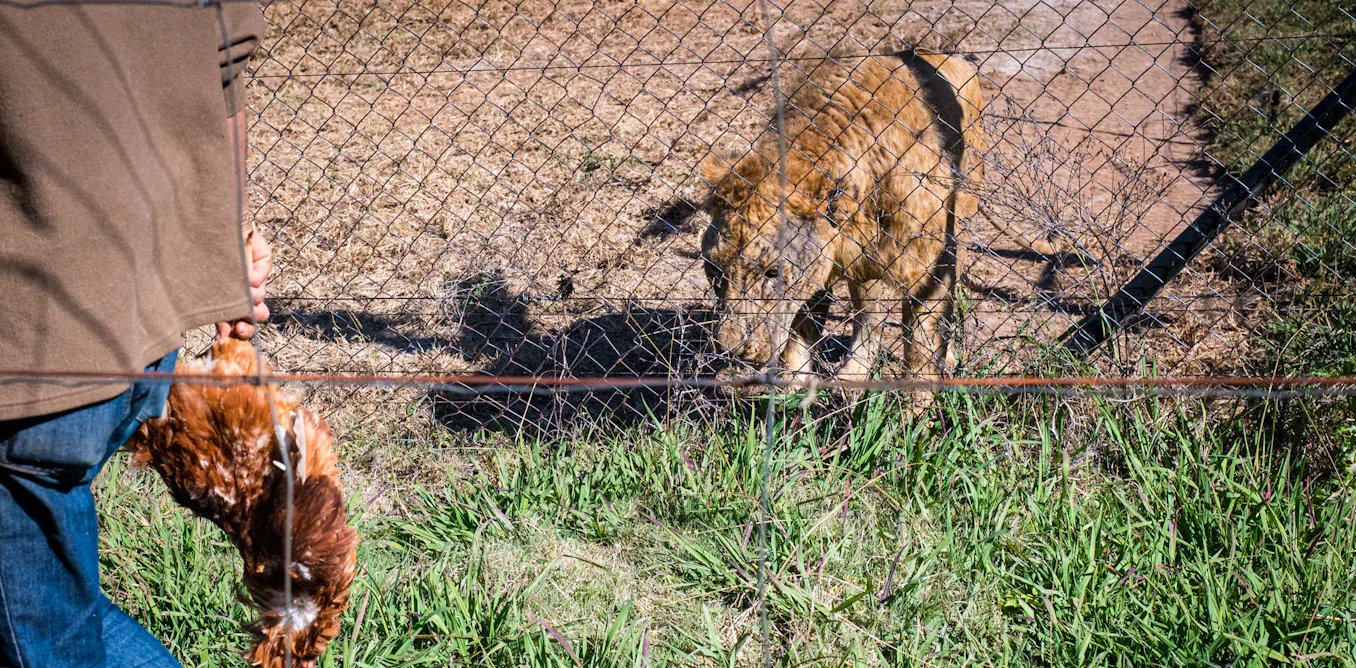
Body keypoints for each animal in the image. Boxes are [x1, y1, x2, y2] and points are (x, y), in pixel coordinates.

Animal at [699, 49, 1014, 383]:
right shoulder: (824, 264)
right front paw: (794, 386)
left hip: (963, 214)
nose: (734, 350)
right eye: (714, 269)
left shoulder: (928, 262)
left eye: (772, 273)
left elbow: (921, 346)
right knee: (868, 313)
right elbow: (801, 331)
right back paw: (853, 373)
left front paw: (920, 394)